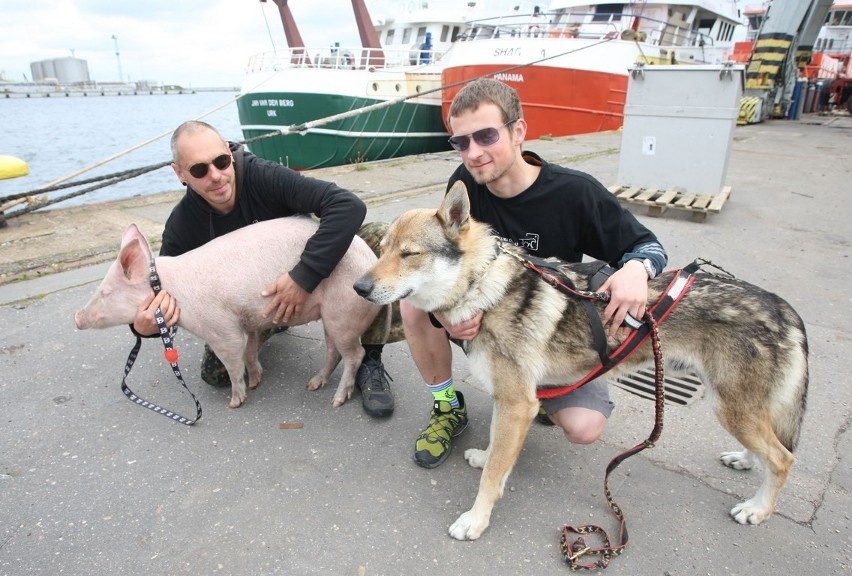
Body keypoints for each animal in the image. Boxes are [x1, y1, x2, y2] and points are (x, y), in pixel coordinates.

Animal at [76, 216, 382, 410]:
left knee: (355, 354)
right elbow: (249, 351)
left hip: (344, 313)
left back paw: (336, 401)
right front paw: (257, 382)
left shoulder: (219, 328)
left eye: (105, 292)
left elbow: (233, 360)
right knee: (333, 352)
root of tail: (371, 260)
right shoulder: (246, 323)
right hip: (331, 316)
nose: (77, 317)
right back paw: (313, 385)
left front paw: (235, 402)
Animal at [352, 183, 804, 540]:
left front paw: (475, 521)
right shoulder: (511, 402)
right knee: (771, 450)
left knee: (784, 459)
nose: (358, 287)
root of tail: (782, 306)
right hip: (736, 409)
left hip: (731, 409)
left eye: (409, 254)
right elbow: (497, 455)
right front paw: (485, 457)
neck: (484, 288)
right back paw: (744, 462)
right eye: (384, 249)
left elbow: (492, 476)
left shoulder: (518, 403)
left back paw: (757, 509)